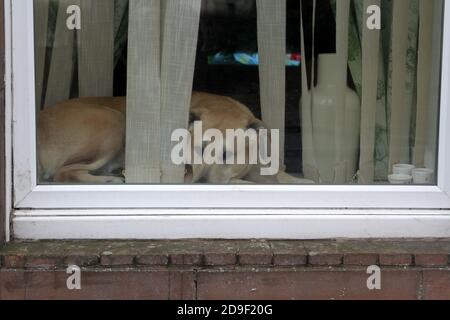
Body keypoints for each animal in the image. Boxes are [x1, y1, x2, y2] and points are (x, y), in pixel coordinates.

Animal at [38, 91, 312, 184]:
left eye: (226, 155)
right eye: (197, 150)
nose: (199, 182)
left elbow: (281, 177)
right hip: (113, 123)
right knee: (63, 173)